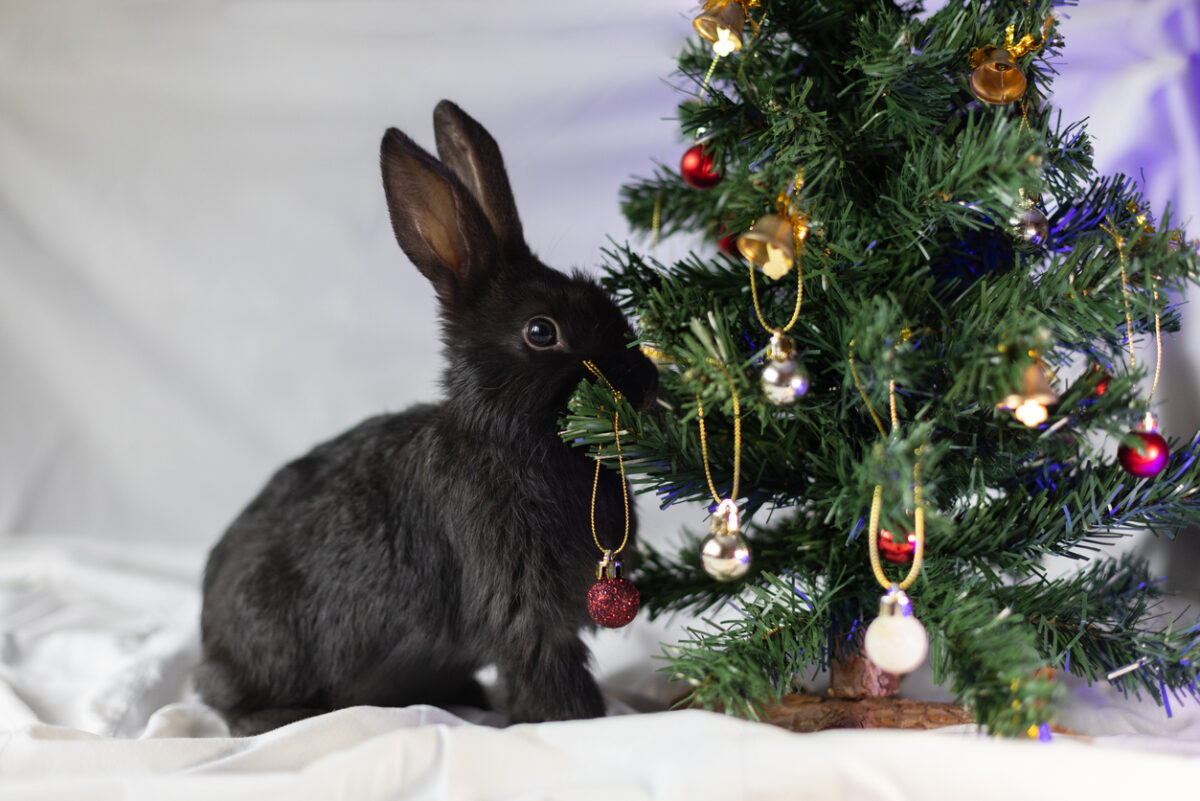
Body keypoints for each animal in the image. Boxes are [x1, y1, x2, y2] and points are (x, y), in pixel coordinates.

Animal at [200, 98, 662, 733]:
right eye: (542, 332)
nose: (645, 386)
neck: (509, 437)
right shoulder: (522, 606)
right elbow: (548, 670)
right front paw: (578, 722)